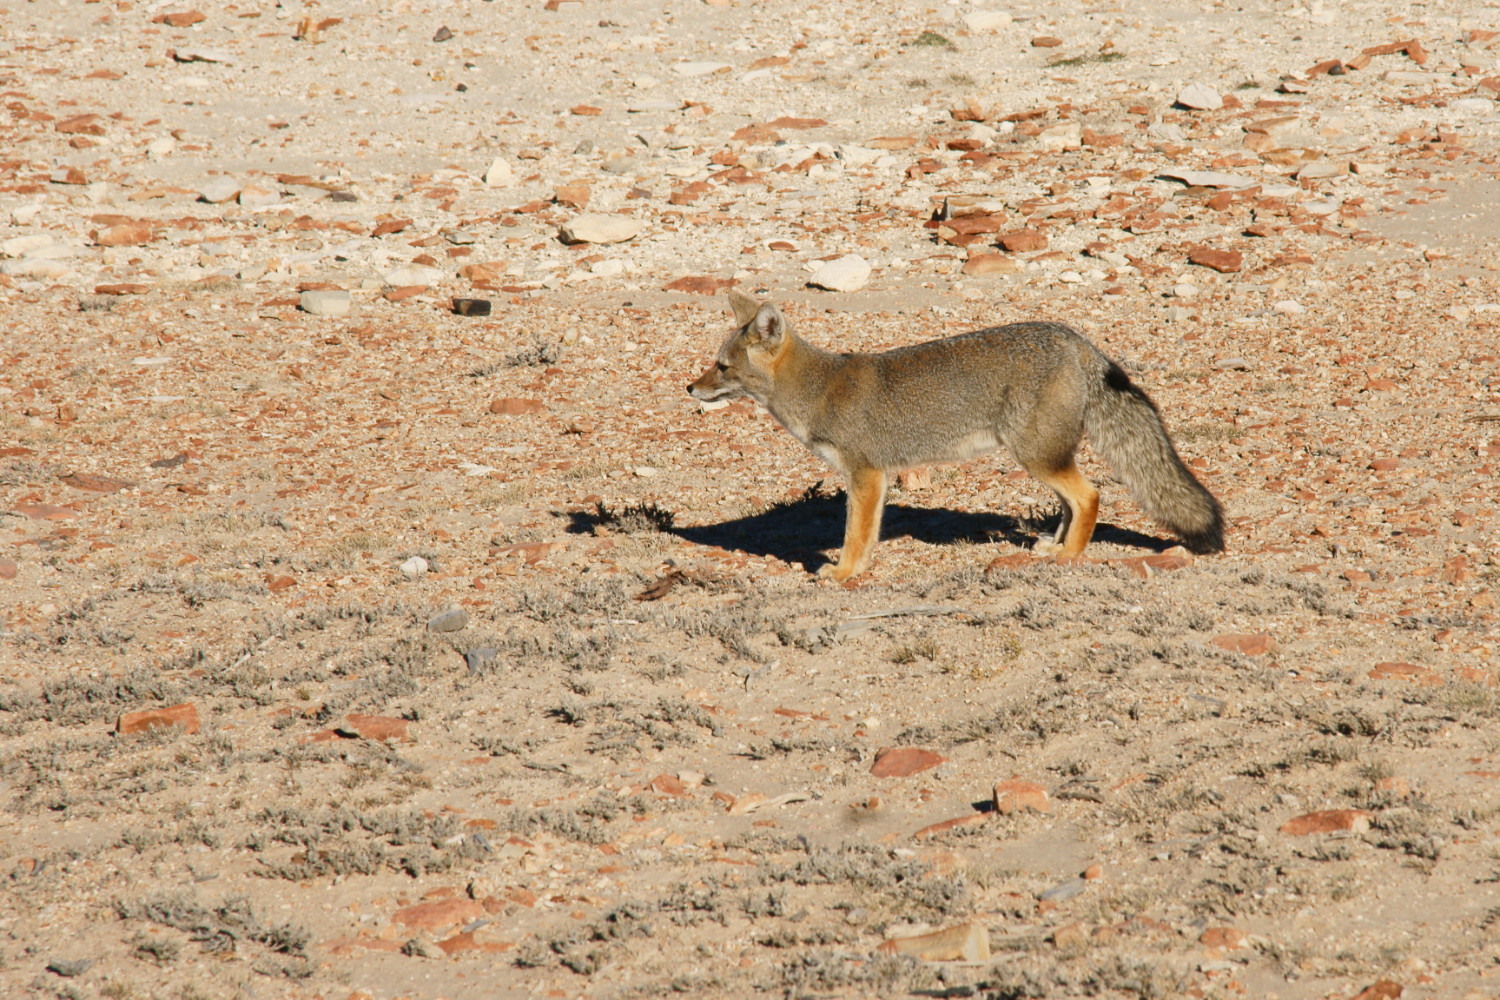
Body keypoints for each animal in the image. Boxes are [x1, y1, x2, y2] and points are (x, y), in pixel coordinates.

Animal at [687, 289, 1224, 581]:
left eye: (721, 366)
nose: (690, 386)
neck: (817, 387)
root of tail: (1079, 341)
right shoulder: (876, 480)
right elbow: (868, 534)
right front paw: (855, 571)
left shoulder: (864, 475)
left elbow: (855, 536)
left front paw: (841, 573)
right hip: (1042, 457)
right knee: (1073, 503)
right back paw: (1054, 546)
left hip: (1035, 456)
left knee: (1089, 496)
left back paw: (1069, 556)